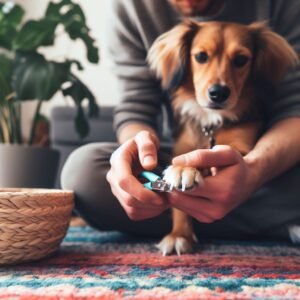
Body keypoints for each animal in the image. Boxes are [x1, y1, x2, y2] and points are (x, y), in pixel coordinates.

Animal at [147, 19, 298, 255]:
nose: (218, 93)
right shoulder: (182, 149)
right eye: (201, 56)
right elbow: (179, 204)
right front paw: (179, 235)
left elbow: (211, 156)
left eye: (241, 60)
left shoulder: (240, 148)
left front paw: (186, 169)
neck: (212, 125)